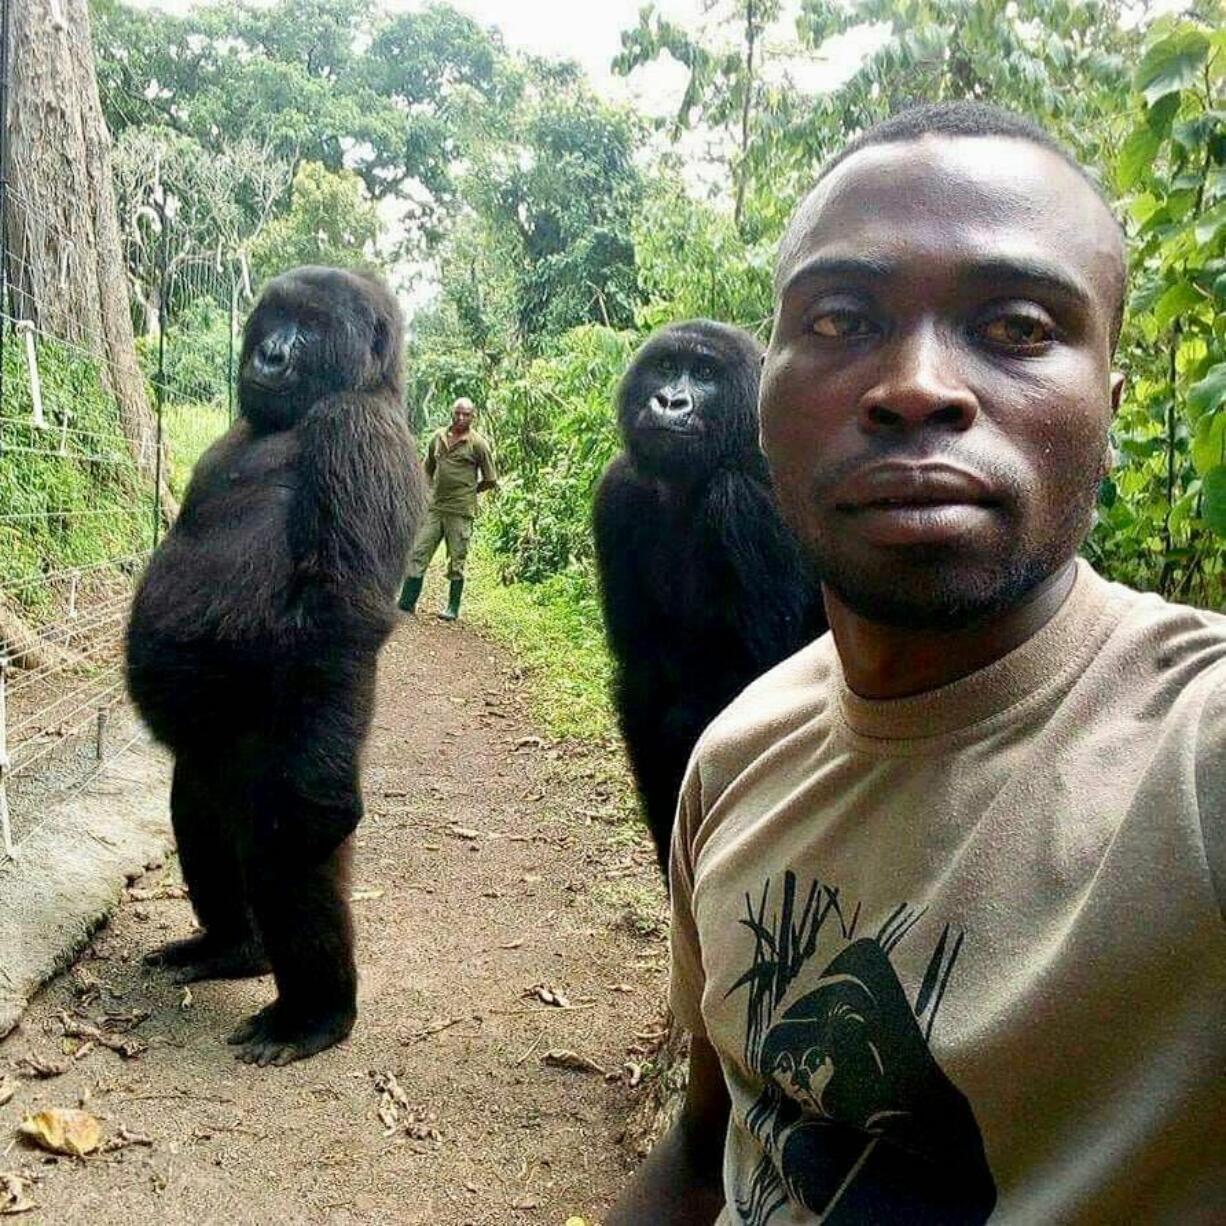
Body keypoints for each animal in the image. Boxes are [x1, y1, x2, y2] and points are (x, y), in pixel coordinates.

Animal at [124, 266, 421, 1064]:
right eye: (274, 318)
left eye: (311, 328)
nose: (272, 354)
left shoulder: (358, 433)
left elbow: (341, 618)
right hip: (211, 761)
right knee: (198, 814)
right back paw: (231, 947)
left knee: (287, 852)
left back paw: (314, 1014)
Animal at [593, 318, 823, 872]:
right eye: (665, 366)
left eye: (704, 374)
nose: (669, 401)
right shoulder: (618, 490)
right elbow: (644, 688)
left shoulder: (747, 502)